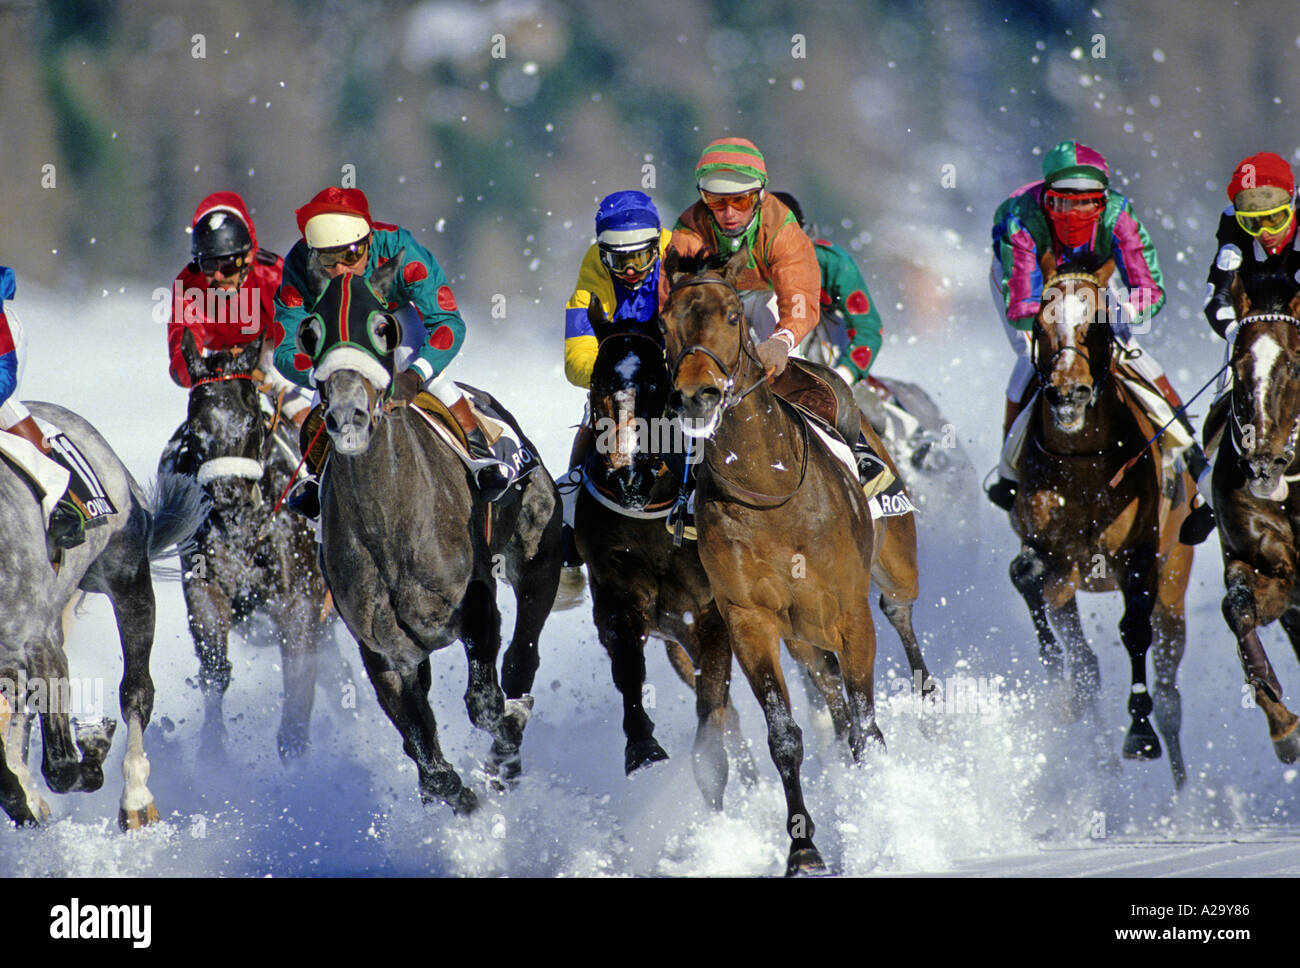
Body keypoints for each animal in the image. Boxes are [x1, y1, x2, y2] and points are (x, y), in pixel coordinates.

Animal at [306, 258, 566, 815]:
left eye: (383, 327)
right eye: (309, 332)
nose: (347, 416)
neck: (389, 524)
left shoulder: (476, 602)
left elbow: (486, 703)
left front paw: (507, 735)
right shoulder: (384, 652)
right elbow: (427, 760)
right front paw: (457, 792)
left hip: (539, 549)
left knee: (523, 654)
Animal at [665, 245, 930, 873]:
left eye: (732, 315)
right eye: (665, 324)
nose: (696, 395)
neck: (770, 487)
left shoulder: (850, 611)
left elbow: (866, 722)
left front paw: (885, 820)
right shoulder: (749, 620)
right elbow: (785, 736)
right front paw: (804, 846)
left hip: (893, 562)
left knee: (900, 614)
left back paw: (930, 705)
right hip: (801, 633)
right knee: (826, 686)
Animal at [1008, 262, 1190, 784]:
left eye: (1101, 325)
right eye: (1040, 326)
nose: (1068, 394)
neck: (1084, 460)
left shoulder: (1141, 557)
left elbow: (1134, 630)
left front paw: (1140, 733)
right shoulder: (1055, 556)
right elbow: (1027, 575)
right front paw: (1057, 684)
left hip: (1175, 581)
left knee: (1169, 690)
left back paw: (1183, 791)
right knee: (1085, 660)